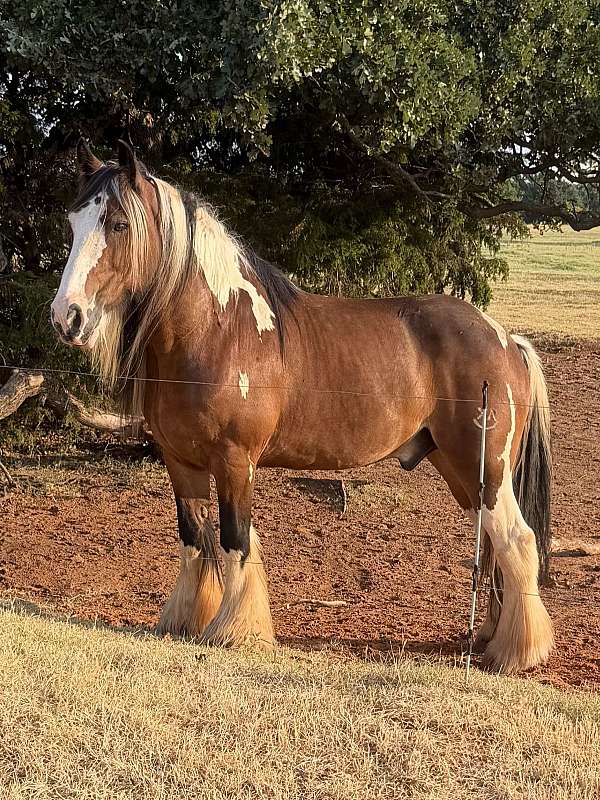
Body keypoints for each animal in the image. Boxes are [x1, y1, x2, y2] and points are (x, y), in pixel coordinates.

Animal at [50, 139, 554, 674]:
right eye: (73, 221)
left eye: (119, 224)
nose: (66, 317)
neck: (219, 330)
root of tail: (506, 339)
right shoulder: (180, 461)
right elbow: (193, 540)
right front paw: (183, 623)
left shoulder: (235, 462)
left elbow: (235, 541)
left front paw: (235, 633)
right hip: (460, 472)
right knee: (493, 546)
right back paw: (491, 638)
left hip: (487, 470)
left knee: (517, 542)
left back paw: (517, 654)